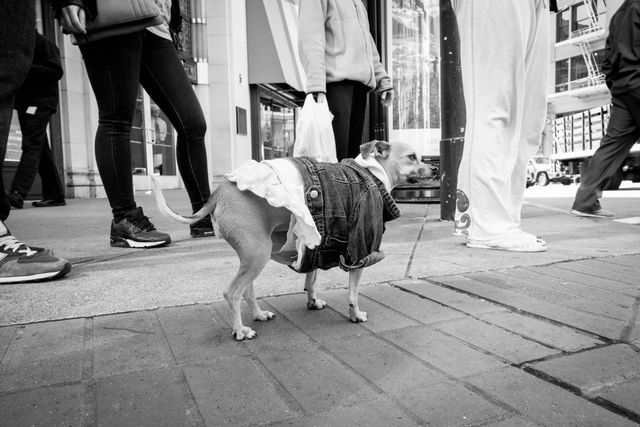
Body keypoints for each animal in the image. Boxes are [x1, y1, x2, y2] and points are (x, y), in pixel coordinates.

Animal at [152, 140, 428, 342]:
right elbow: (353, 292)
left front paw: (313, 301)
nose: (434, 169)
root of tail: (219, 191)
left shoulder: (316, 241)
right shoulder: (359, 252)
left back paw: (259, 315)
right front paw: (355, 314)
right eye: (412, 157)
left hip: (256, 254)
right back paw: (240, 331)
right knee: (232, 292)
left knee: (247, 289)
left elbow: (312, 278)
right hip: (258, 254)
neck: (371, 173)